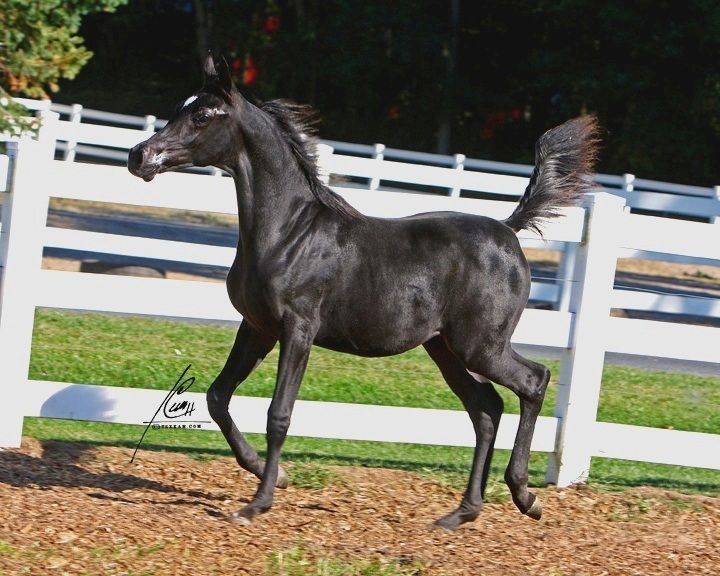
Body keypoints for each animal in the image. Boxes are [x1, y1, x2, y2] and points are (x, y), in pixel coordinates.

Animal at [128, 54, 596, 532]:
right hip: (445, 348)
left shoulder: (298, 329)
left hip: (481, 345)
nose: (138, 155)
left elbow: (279, 414)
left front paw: (258, 502)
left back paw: (525, 496)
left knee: (533, 381)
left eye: (202, 115)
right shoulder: (258, 328)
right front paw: (272, 473)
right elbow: (217, 397)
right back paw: (462, 512)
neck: (287, 233)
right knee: (486, 409)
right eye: (178, 107)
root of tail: (508, 229)